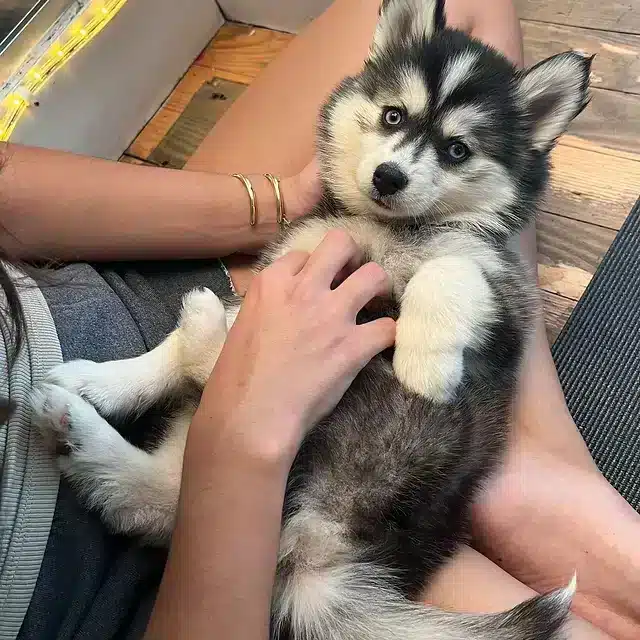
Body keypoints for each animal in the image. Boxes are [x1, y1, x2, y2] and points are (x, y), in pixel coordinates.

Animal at [30, 1, 592, 636]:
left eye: (457, 150)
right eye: (393, 115)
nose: (388, 177)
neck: (384, 231)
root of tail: (316, 553)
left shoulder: (504, 290)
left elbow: (448, 270)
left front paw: (425, 365)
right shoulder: (291, 265)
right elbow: (185, 346)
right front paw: (112, 377)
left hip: (387, 437)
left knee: (166, 485)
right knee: (170, 474)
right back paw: (93, 399)